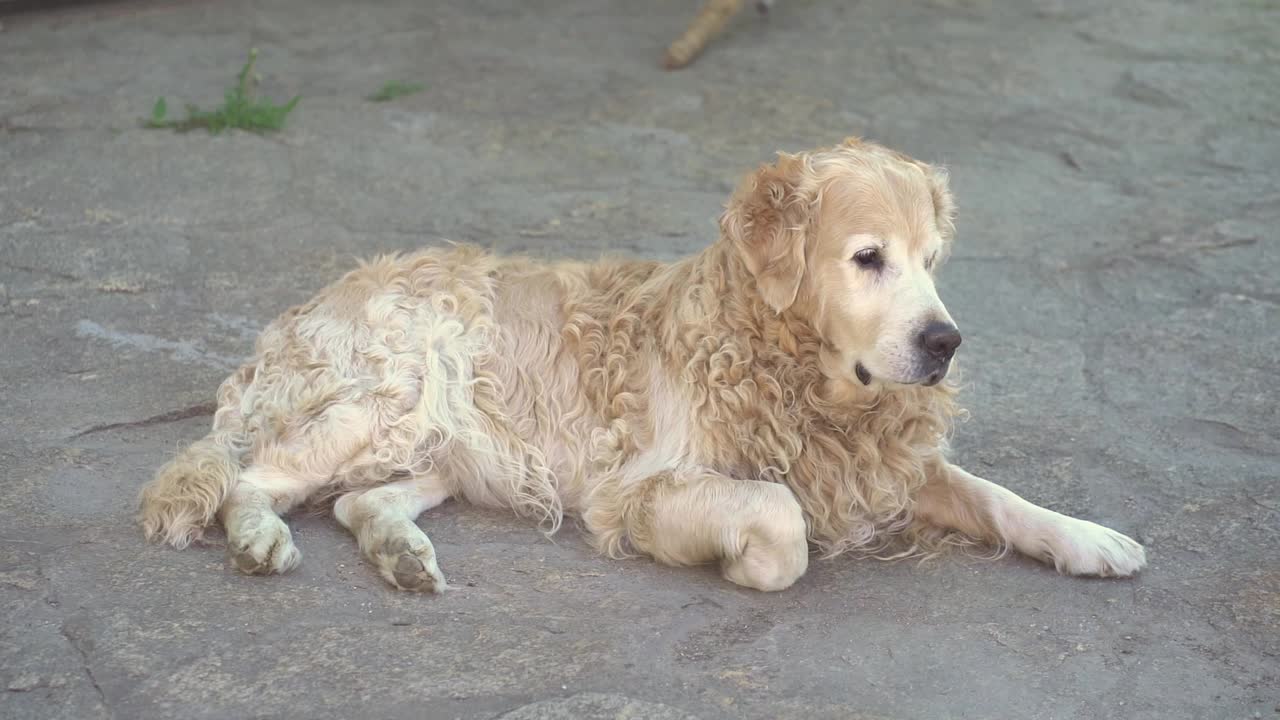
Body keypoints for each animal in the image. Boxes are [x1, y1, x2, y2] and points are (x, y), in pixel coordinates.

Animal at [140, 137, 1152, 591]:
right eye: (869, 258)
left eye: (934, 261)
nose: (945, 343)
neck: (787, 367)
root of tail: (314, 300)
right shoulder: (638, 488)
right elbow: (779, 516)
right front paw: (744, 562)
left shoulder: (885, 459)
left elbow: (995, 495)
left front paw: (1088, 538)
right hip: (387, 398)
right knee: (246, 475)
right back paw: (260, 539)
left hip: (453, 449)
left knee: (360, 504)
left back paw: (401, 554)